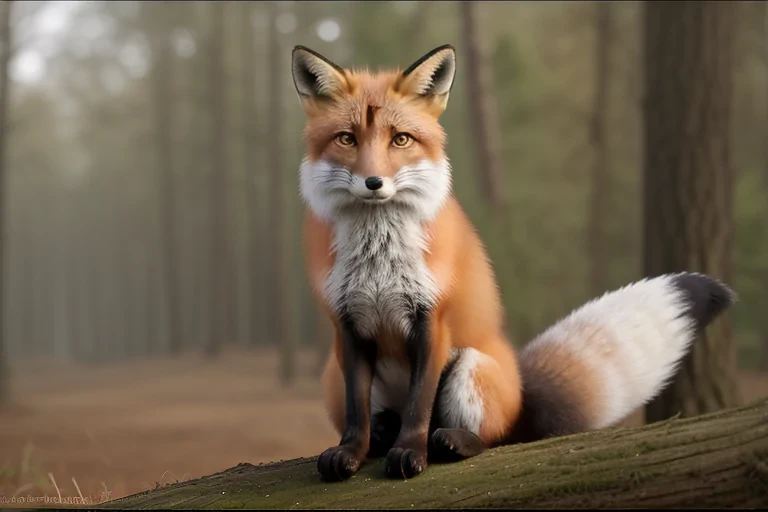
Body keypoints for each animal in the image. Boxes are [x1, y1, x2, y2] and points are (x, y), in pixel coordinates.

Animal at [291, 43, 737, 482]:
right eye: (347, 139)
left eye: (400, 139)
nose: (374, 183)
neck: (378, 260)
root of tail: (520, 396)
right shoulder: (347, 325)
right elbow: (357, 414)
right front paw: (352, 452)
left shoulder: (432, 321)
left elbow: (419, 409)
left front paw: (410, 452)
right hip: (333, 372)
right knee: (383, 417)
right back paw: (383, 435)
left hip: (471, 367)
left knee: (488, 438)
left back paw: (451, 441)